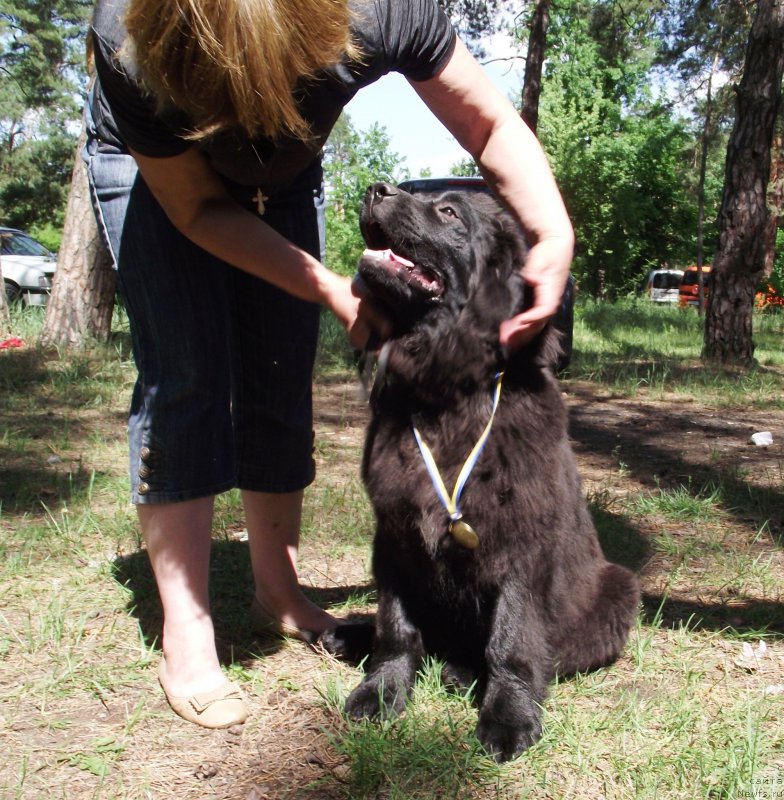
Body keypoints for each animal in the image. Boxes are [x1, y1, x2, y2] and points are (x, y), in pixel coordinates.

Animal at [330, 181, 636, 764]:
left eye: (450, 212)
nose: (376, 188)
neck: (447, 394)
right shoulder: (394, 533)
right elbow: (396, 626)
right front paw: (379, 691)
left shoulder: (521, 543)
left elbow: (511, 638)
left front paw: (509, 717)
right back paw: (349, 636)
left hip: (618, 589)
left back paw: (461, 671)